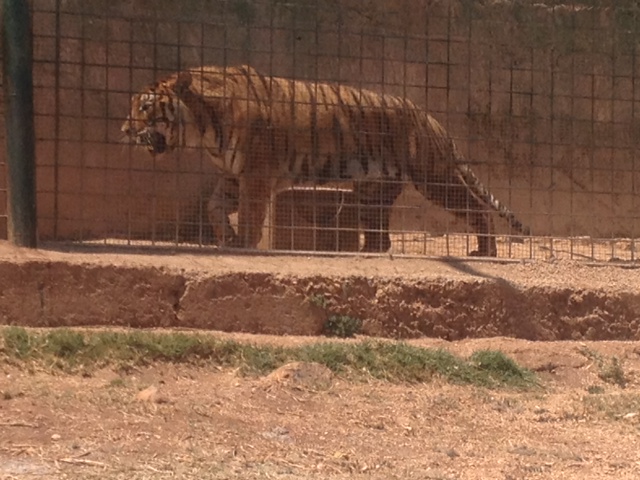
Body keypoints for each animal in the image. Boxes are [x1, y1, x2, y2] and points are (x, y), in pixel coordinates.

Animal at [121, 64, 530, 256]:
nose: (124, 130)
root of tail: (432, 120)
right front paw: (228, 239)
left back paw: (486, 250)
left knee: (478, 209)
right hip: (372, 190)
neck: (201, 129)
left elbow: (251, 215)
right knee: (381, 237)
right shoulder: (235, 176)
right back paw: (368, 251)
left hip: (434, 178)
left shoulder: (255, 175)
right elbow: (213, 207)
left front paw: (244, 243)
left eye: (144, 108)